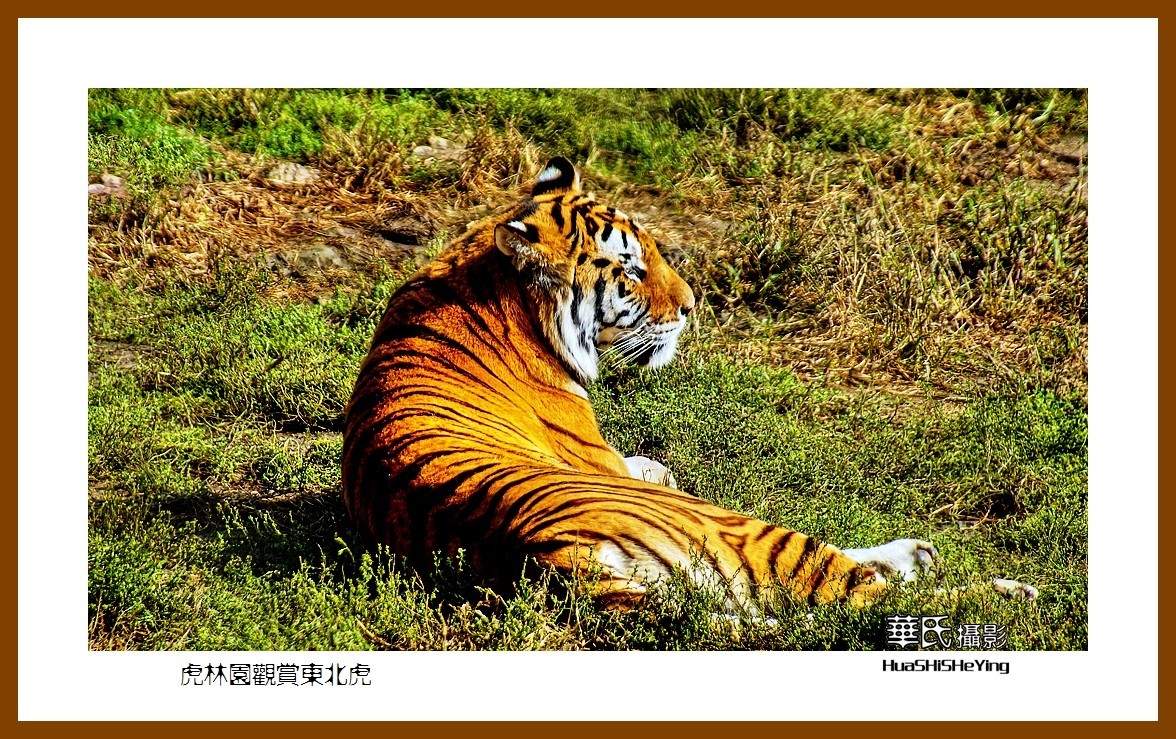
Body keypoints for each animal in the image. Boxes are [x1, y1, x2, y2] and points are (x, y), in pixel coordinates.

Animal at [342, 156, 1037, 615]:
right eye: (629, 269)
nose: (691, 305)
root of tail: (548, 554)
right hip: (732, 523)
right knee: (864, 600)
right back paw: (1004, 590)